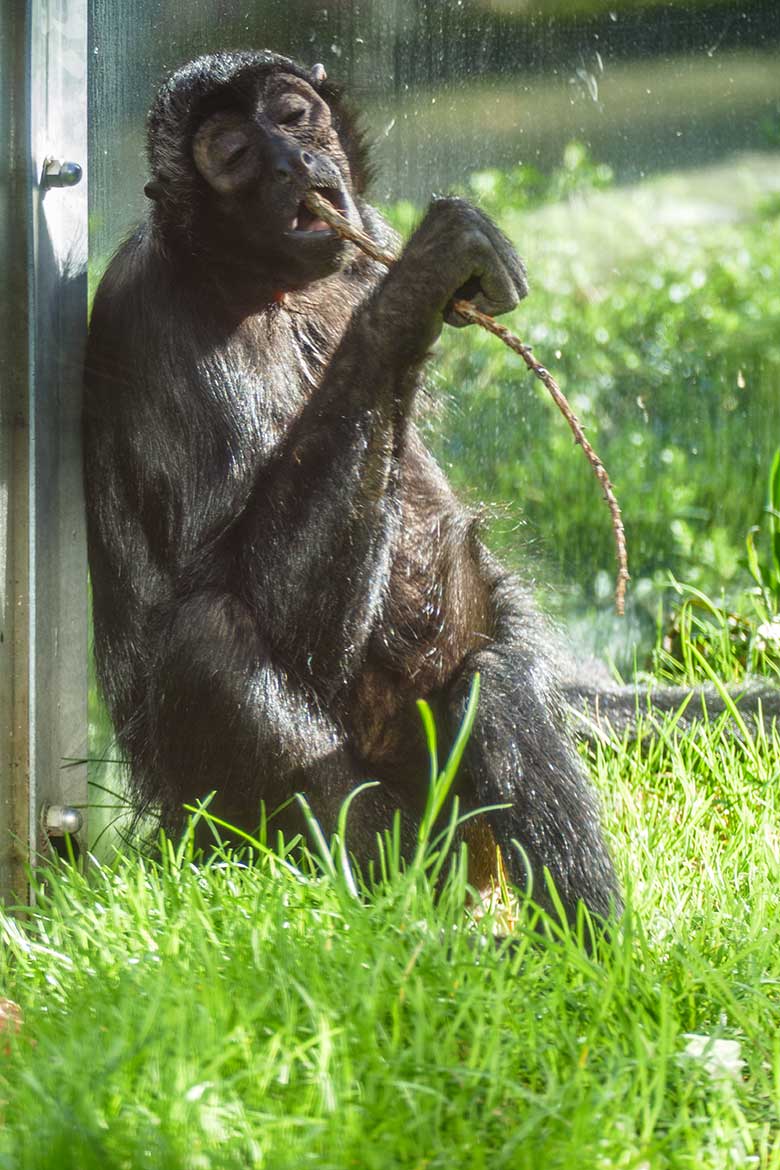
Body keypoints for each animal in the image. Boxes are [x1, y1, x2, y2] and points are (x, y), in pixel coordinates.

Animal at [84, 47, 622, 921]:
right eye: (232, 153)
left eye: (292, 117)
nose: (287, 162)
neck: (273, 289)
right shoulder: (145, 312)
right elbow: (253, 603)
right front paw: (408, 296)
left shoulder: (366, 227)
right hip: (218, 824)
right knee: (212, 638)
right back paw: (414, 911)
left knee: (496, 678)